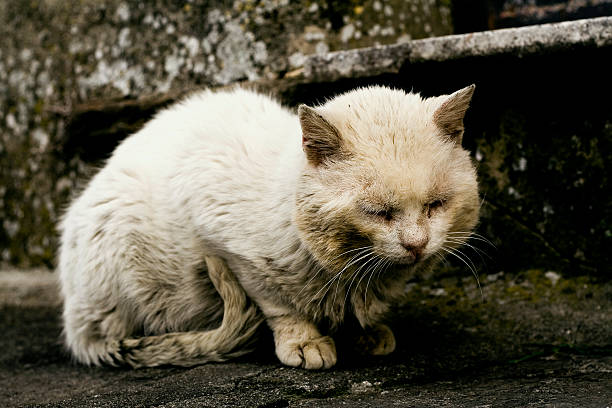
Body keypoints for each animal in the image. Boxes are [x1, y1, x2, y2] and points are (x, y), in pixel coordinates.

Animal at [57, 83, 478, 370]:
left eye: (435, 205)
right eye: (379, 212)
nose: (417, 243)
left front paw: (365, 331)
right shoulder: (230, 248)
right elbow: (279, 305)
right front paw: (305, 342)